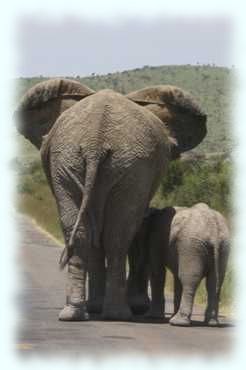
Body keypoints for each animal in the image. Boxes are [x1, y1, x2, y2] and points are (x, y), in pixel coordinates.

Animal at [14, 79, 206, 320]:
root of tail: (95, 140)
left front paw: (100, 306)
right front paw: (132, 306)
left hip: (82, 162)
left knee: (90, 233)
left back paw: (80, 313)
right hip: (112, 164)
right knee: (117, 235)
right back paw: (115, 313)